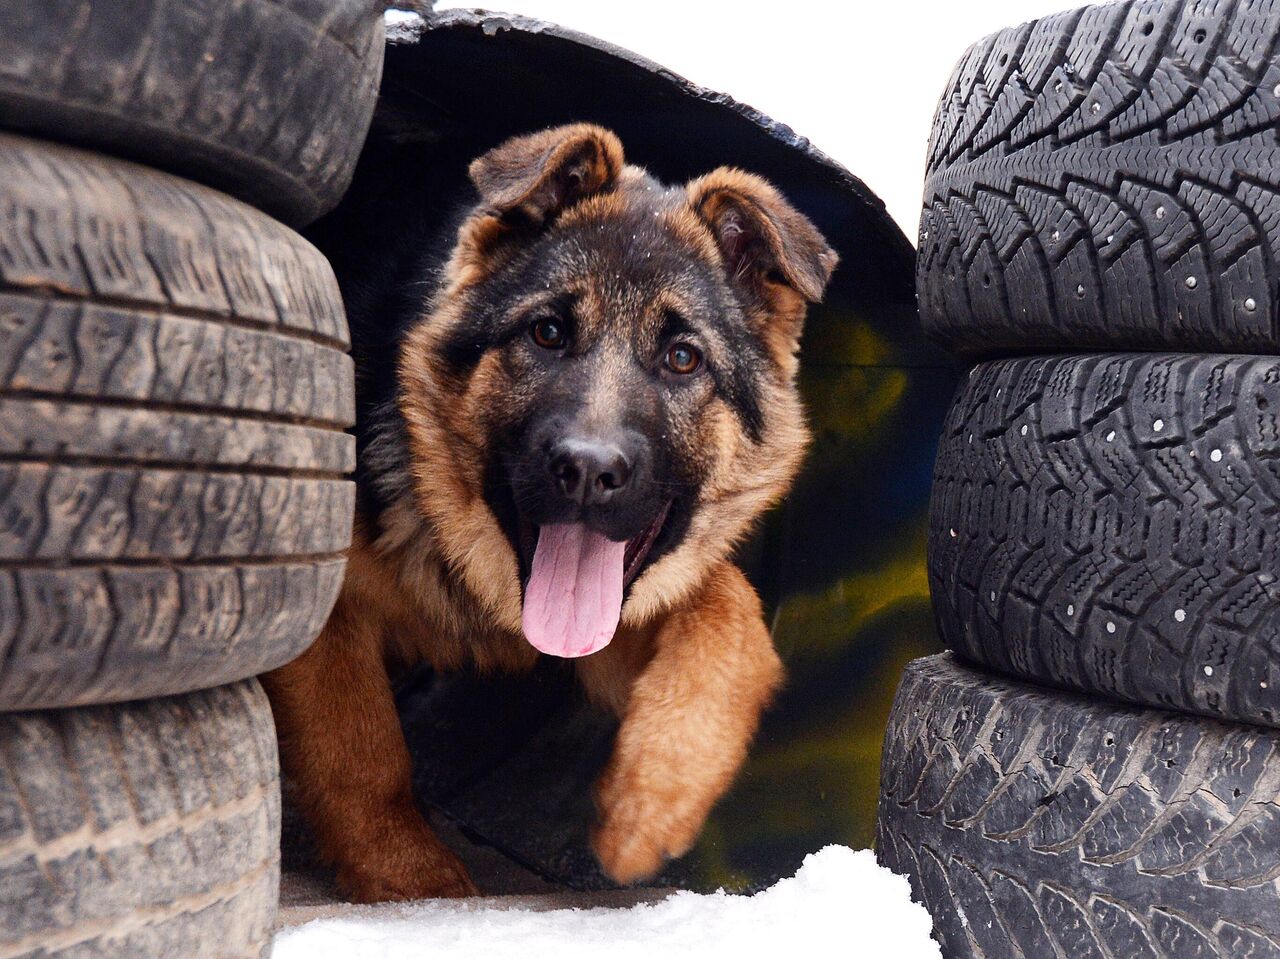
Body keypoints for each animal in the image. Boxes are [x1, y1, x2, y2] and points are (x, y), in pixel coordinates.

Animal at [264, 123, 834, 901]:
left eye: (683, 359)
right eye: (547, 333)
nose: (589, 472)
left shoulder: (610, 627)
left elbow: (729, 608)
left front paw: (654, 798)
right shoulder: (324, 605)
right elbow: (361, 747)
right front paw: (411, 881)